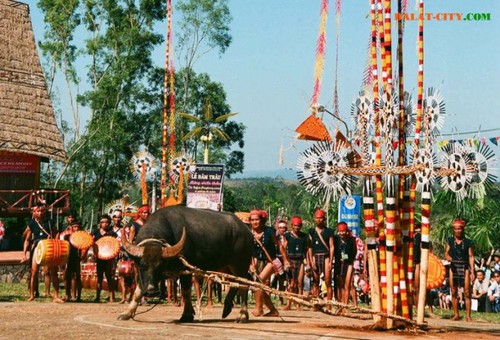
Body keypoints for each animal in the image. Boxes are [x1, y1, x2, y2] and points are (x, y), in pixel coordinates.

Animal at [118, 205, 254, 322]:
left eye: (160, 266)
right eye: (142, 265)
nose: (151, 292)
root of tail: (247, 231)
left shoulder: (185, 270)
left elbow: (185, 291)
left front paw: (187, 315)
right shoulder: (142, 275)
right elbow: (137, 291)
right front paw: (127, 313)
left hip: (240, 264)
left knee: (244, 285)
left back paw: (241, 314)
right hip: (227, 267)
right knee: (238, 283)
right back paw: (230, 309)